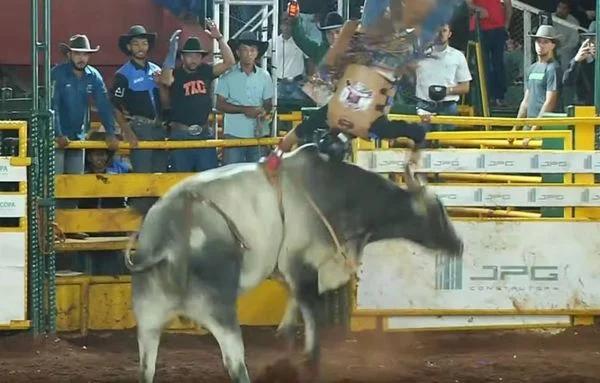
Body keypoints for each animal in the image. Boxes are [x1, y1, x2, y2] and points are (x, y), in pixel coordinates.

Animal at [125, 145, 464, 383]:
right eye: (440, 210)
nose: (459, 245)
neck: (337, 193)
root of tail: (167, 237)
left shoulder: (290, 269)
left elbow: (293, 303)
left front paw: (284, 337)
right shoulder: (305, 264)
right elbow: (311, 314)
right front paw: (310, 362)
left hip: (149, 315)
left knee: (146, 368)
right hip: (218, 309)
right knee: (235, 365)